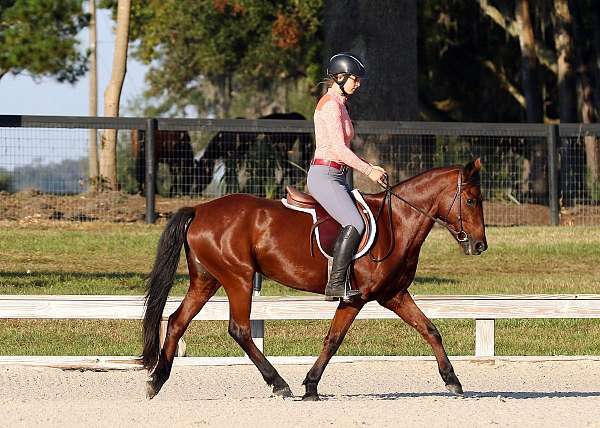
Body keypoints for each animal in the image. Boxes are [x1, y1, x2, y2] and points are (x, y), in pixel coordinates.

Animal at [142, 159, 488, 400]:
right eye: (471, 201)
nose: (479, 245)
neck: (397, 222)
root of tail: (199, 210)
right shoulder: (356, 298)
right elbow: (333, 340)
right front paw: (309, 386)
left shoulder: (395, 294)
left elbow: (430, 329)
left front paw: (453, 381)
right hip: (238, 278)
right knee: (239, 329)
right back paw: (278, 384)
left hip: (207, 280)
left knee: (177, 320)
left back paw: (156, 381)